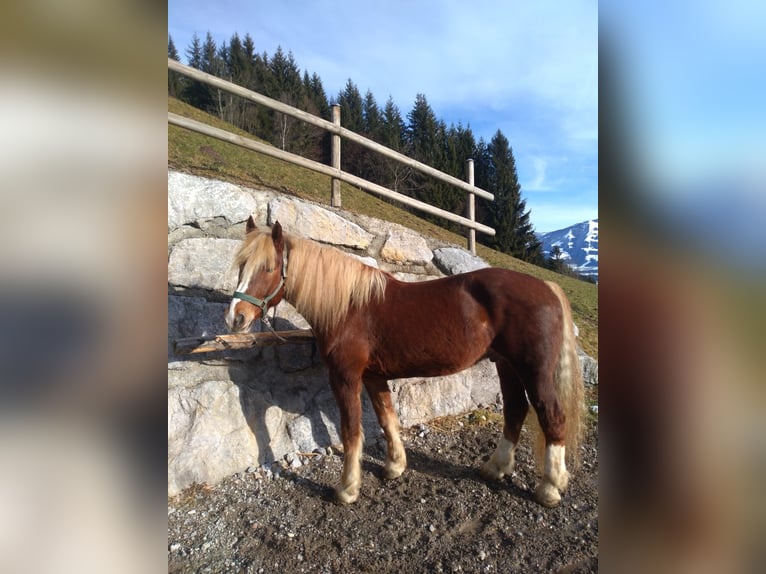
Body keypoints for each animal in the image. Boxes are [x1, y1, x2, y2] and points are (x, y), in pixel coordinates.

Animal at [225, 218, 584, 506]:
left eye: (268, 268)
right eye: (241, 265)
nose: (235, 318)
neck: (350, 307)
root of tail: (547, 286)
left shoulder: (345, 377)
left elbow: (351, 430)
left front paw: (347, 489)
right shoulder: (373, 377)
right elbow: (387, 419)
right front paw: (394, 467)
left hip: (533, 371)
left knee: (552, 416)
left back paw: (550, 488)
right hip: (506, 365)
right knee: (515, 410)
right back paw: (496, 468)